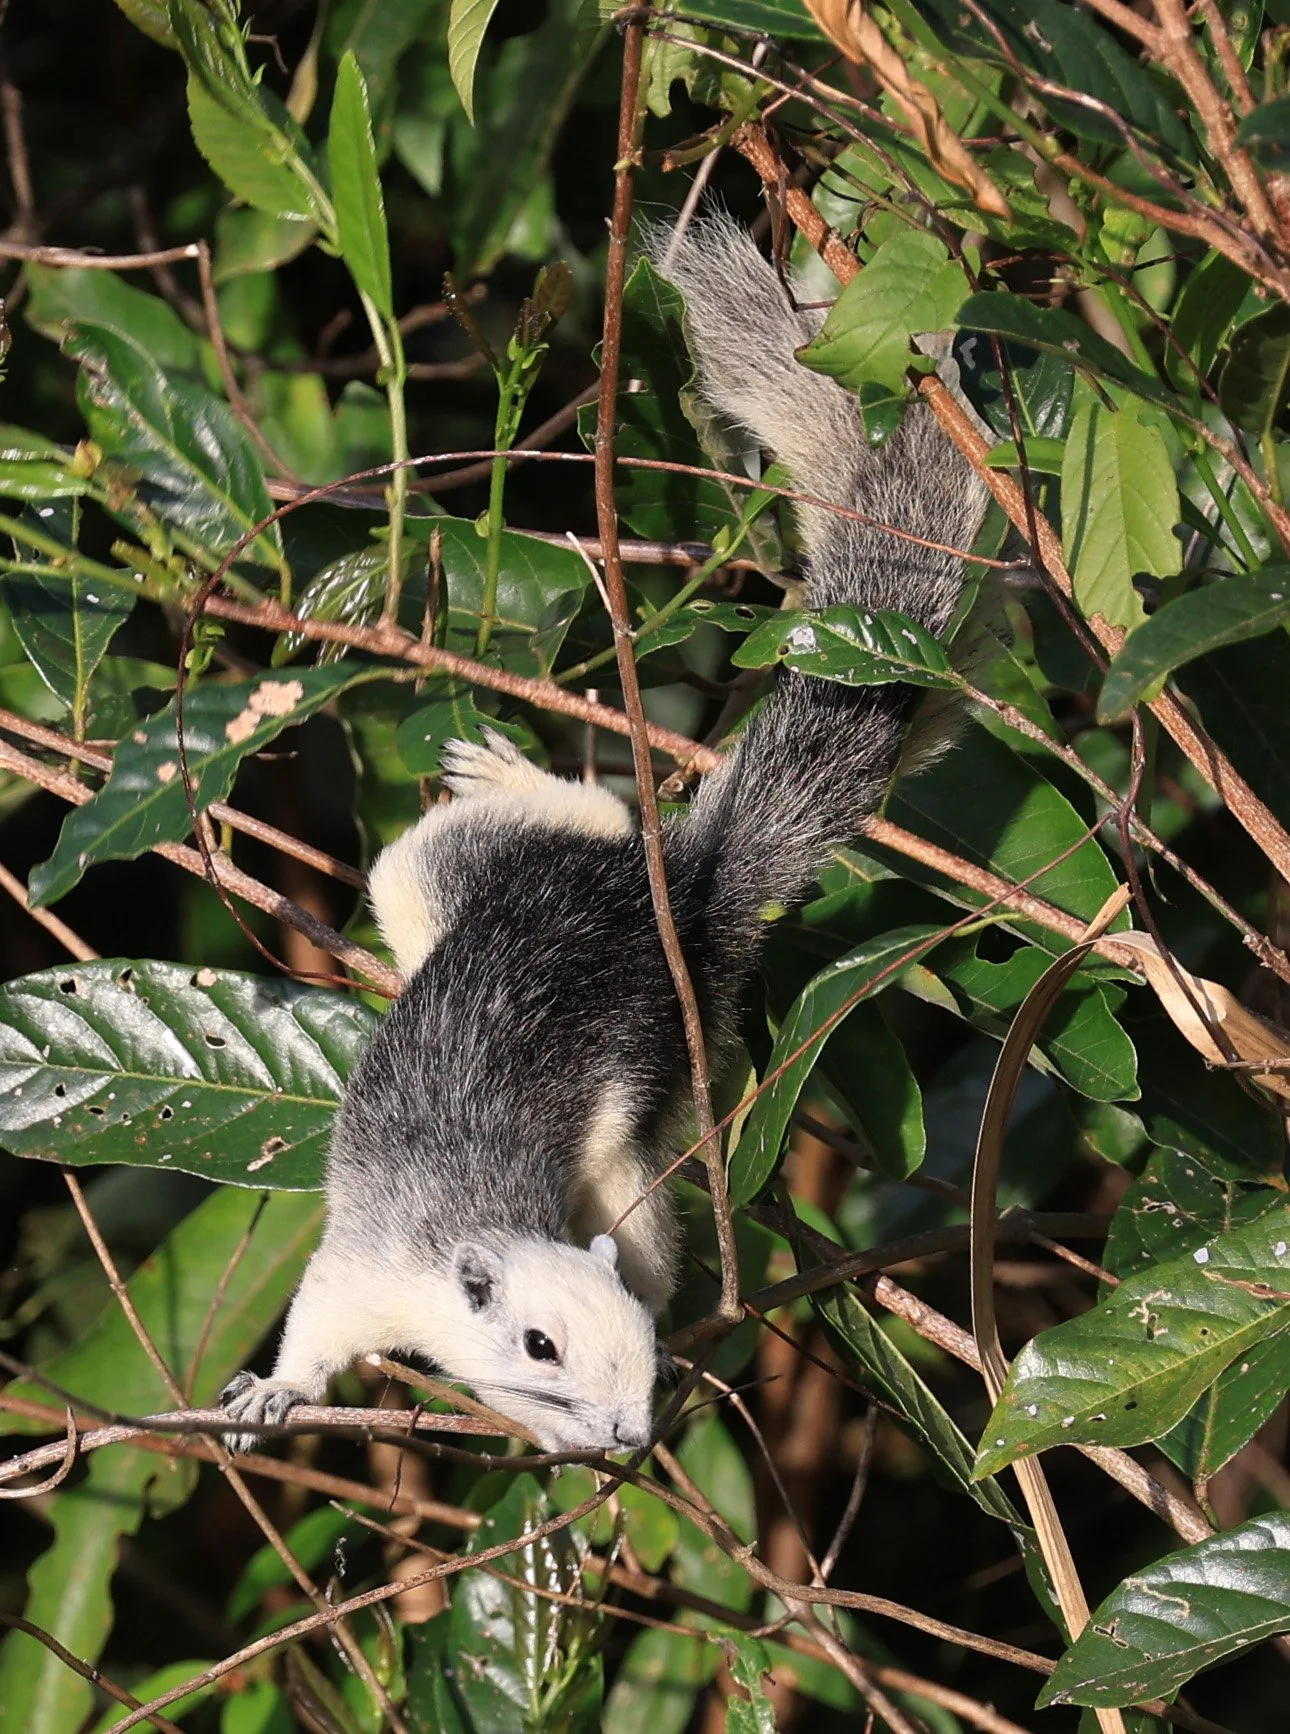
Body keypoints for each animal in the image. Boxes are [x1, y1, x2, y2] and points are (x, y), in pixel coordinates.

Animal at [221, 214, 987, 1455]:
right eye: (540, 1347)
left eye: (640, 1354)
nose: (629, 1435)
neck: (475, 1232)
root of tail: (669, 889)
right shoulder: (366, 1270)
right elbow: (317, 1323)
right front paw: (275, 1392)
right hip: (439, 884)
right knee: (452, 858)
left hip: (646, 1075)